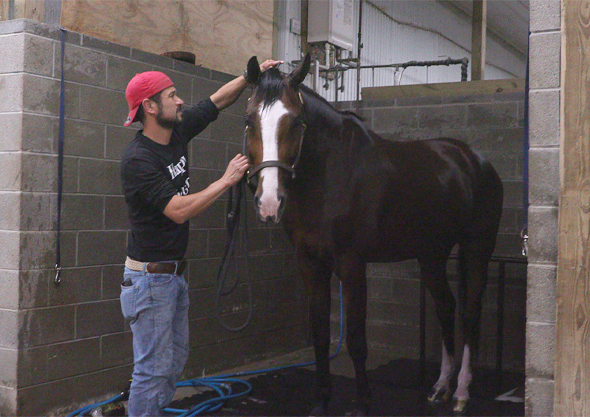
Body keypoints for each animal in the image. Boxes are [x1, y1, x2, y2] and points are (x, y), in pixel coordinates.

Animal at [243, 53, 506, 414]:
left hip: (477, 248)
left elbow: (356, 339)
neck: (330, 175)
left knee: (470, 311)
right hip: (432, 254)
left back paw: (462, 393)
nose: (268, 201)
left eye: (296, 122)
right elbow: (320, 335)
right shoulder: (310, 263)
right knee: (446, 305)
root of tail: (474, 160)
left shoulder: (352, 264)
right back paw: (441, 387)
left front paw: (363, 404)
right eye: (249, 121)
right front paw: (320, 403)